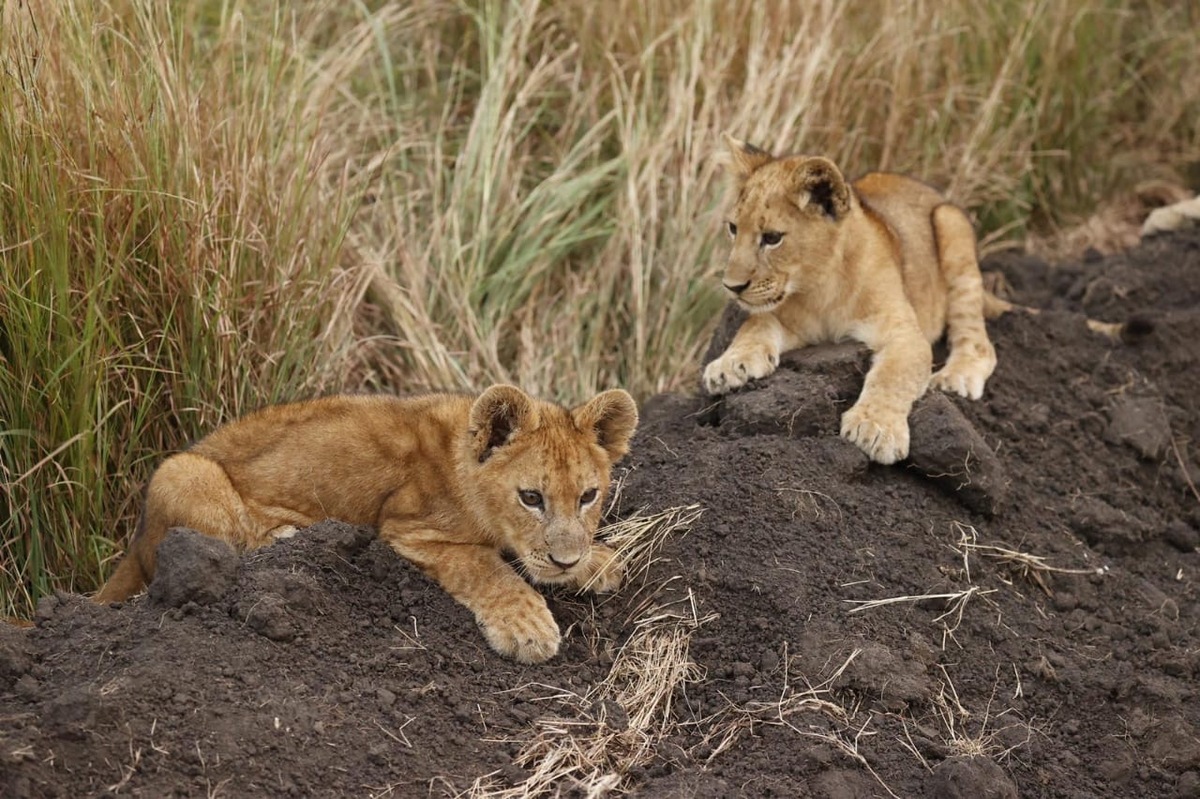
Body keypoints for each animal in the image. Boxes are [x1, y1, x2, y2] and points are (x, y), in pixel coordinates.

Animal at [94, 385, 639, 664]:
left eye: (588, 496)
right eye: (531, 498)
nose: (565, 559)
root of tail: (134, 541)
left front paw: (596, 561)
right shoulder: (410, 529)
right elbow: (489, 572)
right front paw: (528, 627)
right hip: (183, 471)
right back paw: (284, 533)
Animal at [702, 134, 1011, 465]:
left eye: (772, 238)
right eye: (733, 228)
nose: (731, 286)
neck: (820, 289)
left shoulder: (905, 334)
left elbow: (892, 375)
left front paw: (875, 427)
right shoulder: (791, 322)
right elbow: (755, 325)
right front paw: (728, 365)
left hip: (951, 224)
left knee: (979, 341)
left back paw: (957, 376)